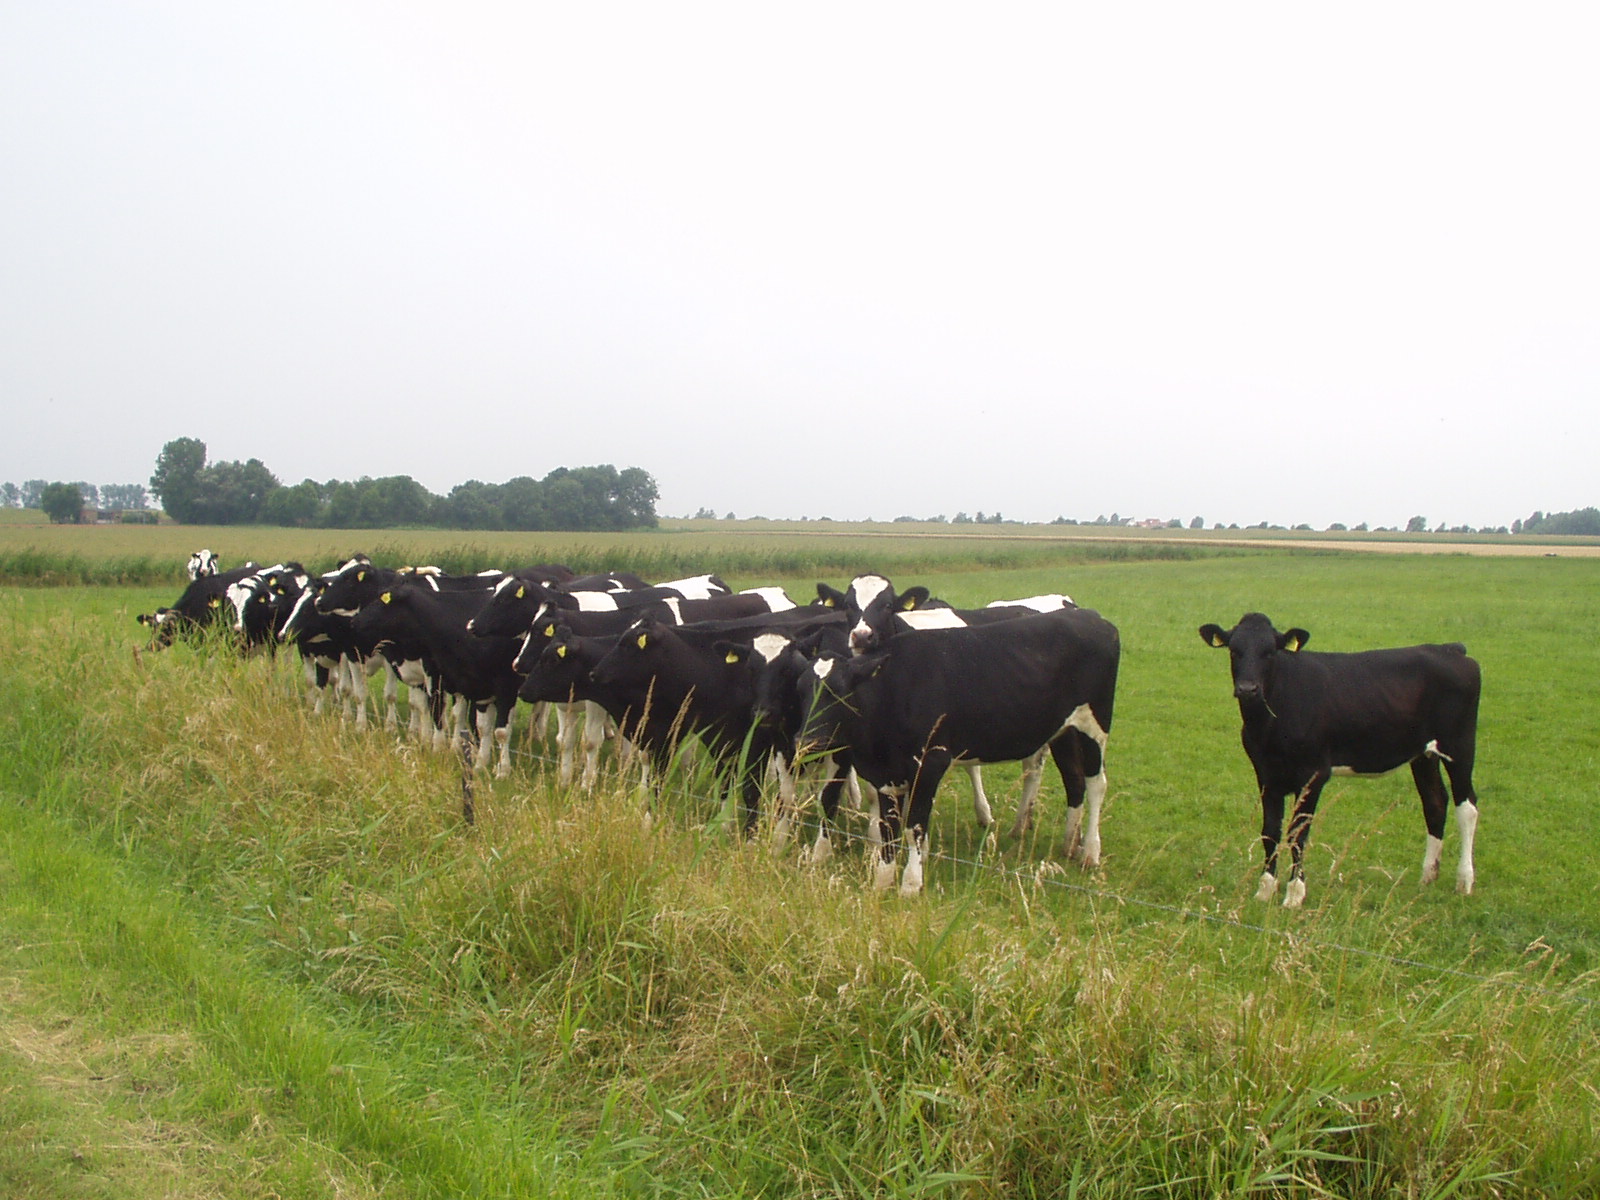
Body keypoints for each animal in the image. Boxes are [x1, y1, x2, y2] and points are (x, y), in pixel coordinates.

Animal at [798, 606, 1120, 894]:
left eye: (838, 692)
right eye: (801, 689)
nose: (808, 740)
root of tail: (1092, 617)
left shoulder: (930, 763)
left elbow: (914, 827)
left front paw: (910, 886)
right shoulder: (885, 775)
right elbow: (889, 830)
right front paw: (882, 883)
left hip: (1095, 724)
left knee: (1097, 784)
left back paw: (1090, 851)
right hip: (1064, 730)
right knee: (1074, 780)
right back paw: (1069, 843)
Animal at [1198, 613, 1481, 907]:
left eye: (1270, 652)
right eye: (1234, 650)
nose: (1247, 689)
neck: (1269, 723)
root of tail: (1449, 648)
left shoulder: (1314, 773)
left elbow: (1298, 833)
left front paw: (1294, 894)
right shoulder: (1266, 774)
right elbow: (1270, 830)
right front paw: (1265, 890)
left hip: (1459, 745)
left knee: (1467, 806)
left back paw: (1464, 881)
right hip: (1424, 754)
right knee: (1435, 802)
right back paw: (1428, 877)